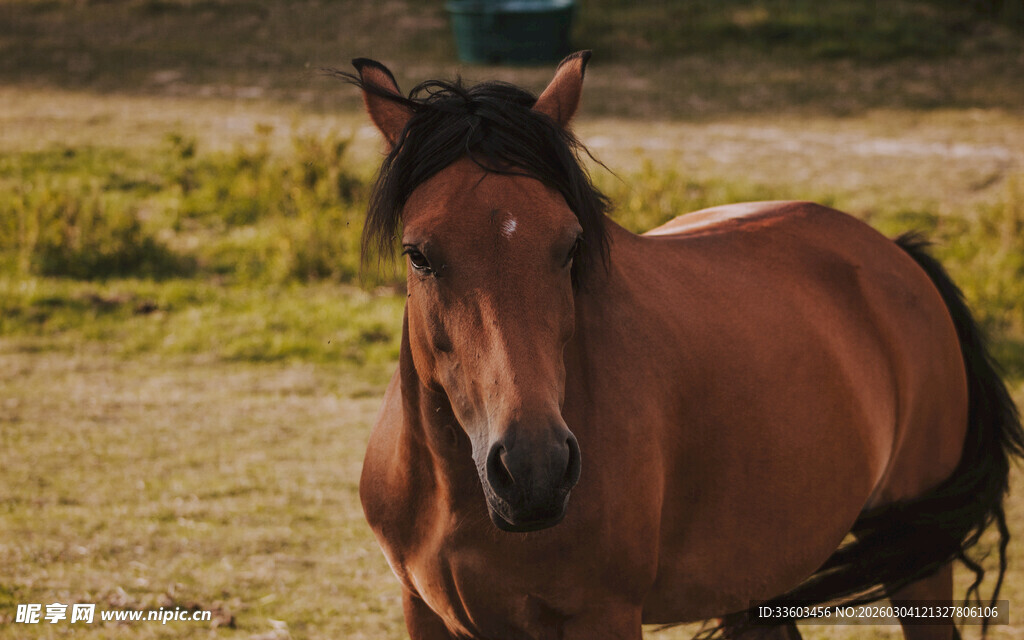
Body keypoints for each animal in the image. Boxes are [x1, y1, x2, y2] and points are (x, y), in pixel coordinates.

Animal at [343, 52, 1023, 640]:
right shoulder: (424, 613)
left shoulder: (602, 616)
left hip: (917, 565)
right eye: (419, 255)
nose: (535, 469)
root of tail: (895, 253)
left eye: (570, 246)